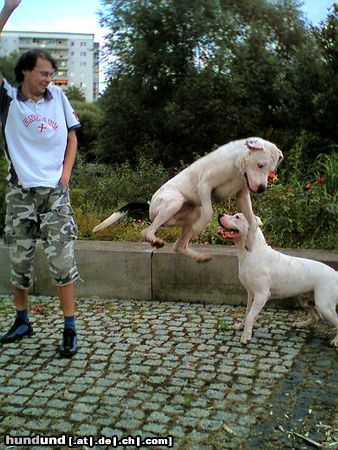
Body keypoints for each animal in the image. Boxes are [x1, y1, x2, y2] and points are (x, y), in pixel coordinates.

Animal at [92, 139, 282, 262]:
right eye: (260, 165)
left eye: (271, 170)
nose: (262, 189)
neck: (235, 165)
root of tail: (149, 205)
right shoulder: (204, 186)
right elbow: (210, 211)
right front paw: (201, 226)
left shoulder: (242, 194)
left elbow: (251, 219)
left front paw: (250, 239)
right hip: (174, 201)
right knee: (147, 230)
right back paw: (155, 240)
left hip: (188, 215)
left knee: (179, 246)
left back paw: (200, 257)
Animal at [218, 213, 338, 346]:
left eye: (237, 217)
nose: (220, 215)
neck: (250, 252)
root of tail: (335, 274)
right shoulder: (251, 293)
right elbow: (247, 312)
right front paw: (240, 326)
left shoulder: (262, 295)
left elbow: (250, 316)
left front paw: (246, 336)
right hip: (305, 300)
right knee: (316, 316)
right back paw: (300, 324)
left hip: (324, 305)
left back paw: (335, 341)